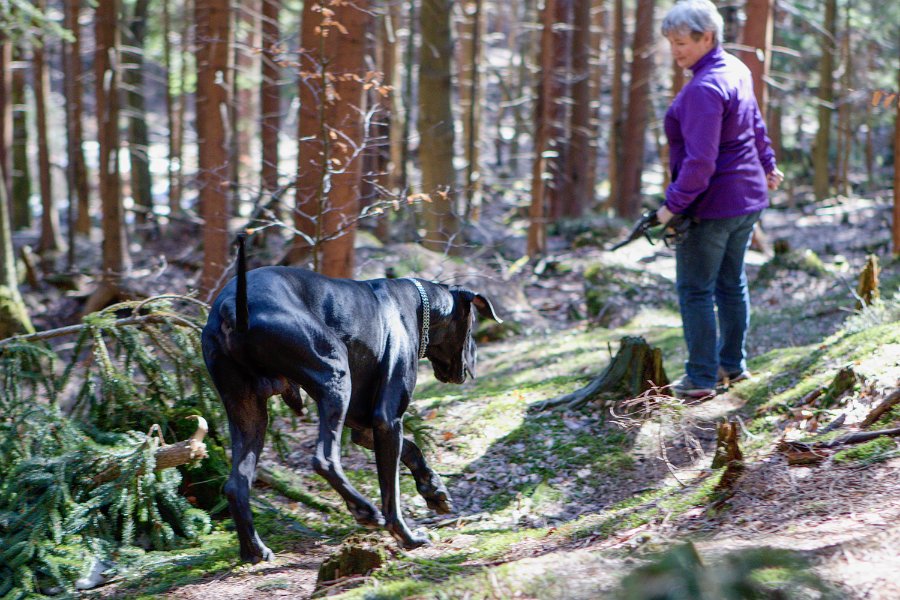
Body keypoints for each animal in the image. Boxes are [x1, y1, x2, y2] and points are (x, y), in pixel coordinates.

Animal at [200, 238, 502, 564]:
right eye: (471, 326)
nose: (472, 364)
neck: (418, 305)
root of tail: (231, 307)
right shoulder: (386, 419)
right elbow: (391, 491)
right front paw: (406, 536)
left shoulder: (365, 426)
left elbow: (412, 448)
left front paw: (433, 489)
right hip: (335, 374)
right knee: (324, 459)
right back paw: (365, 511)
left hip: (248, 411)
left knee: (236, 484)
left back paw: (253, 550)